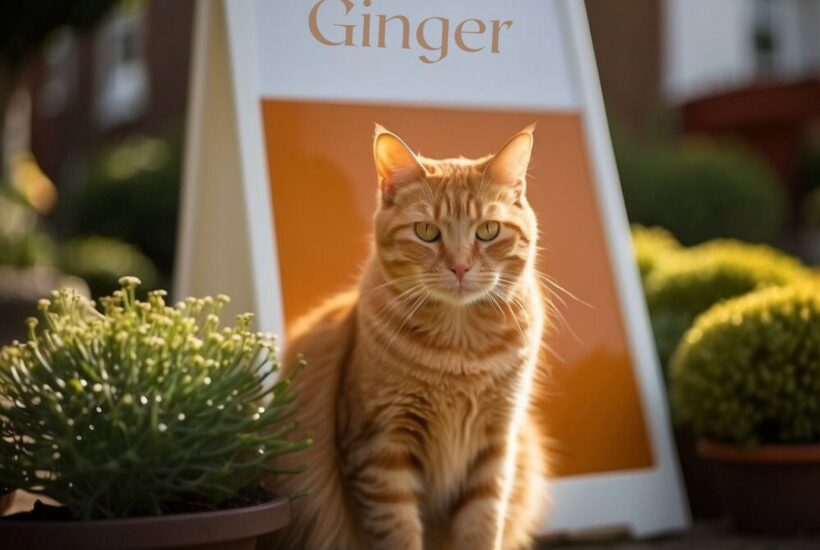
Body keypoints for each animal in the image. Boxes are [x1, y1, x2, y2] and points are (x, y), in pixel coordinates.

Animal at [268, 126, 552, 550]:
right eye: (427, 232)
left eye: (487, 231)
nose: (460, 267)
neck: (460, 348)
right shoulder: (381, 449)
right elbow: (398, 531)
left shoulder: (496, 445)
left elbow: (482, 526)